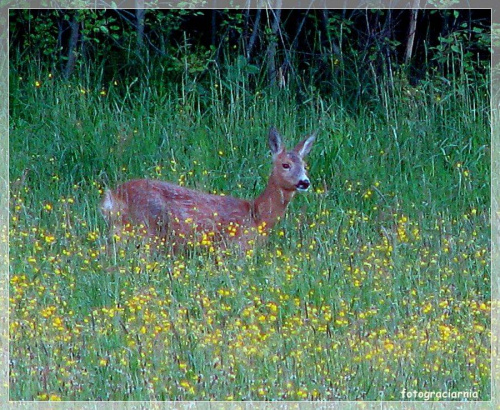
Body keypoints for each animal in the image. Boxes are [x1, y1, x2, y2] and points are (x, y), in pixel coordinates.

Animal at [99, 127, 314, 250]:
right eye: (285, 164)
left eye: (305, 165)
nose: (304, 182)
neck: (257, 215)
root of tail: (113, 196)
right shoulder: (235, 248)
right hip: (145, 228)